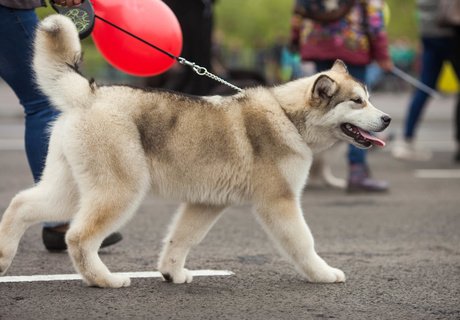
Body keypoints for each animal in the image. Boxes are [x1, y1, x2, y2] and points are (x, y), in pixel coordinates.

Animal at [0, 15, 390, 288]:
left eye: (369, 98)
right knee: (77, 238)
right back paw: (104, 280)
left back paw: (3, 257)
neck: (287, 116)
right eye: (357, 102)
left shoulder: (206, 204)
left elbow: (180, 239)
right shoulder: (279, 203)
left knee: (21, 204)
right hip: (120, 191)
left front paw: (172, 273)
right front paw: (322, 273)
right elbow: (304, 243)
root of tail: (90, 94)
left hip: (70, 189)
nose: (386, 119)